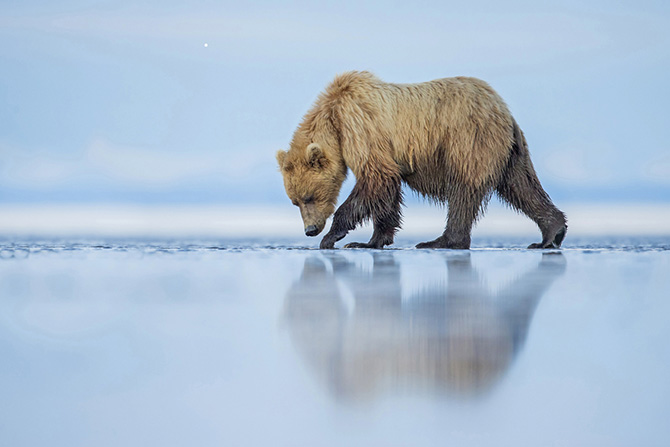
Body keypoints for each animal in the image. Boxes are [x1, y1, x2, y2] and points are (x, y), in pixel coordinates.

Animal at [276, 72, 568, 250]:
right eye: (295, 201)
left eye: (309, 197)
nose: (310, 230)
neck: (333, 119)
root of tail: (503, 108)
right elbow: (387, 190)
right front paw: (372, 241)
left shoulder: (360, 127)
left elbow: (376, 178)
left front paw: (334, 237)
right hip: (510, 151)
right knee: (521, 186)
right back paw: (551, 234)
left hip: (467, 139)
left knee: (463, 190)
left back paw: (442, 240)